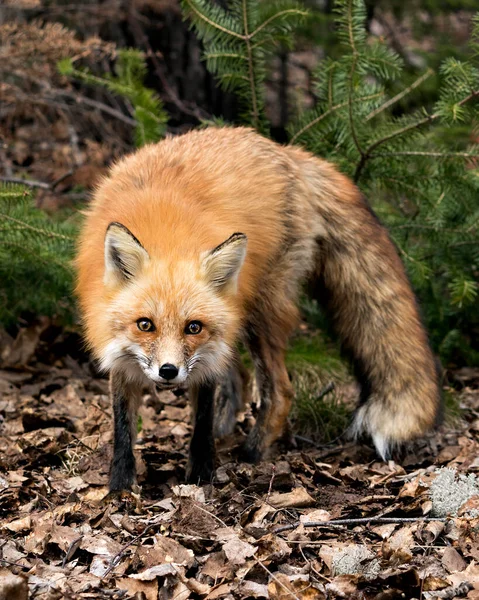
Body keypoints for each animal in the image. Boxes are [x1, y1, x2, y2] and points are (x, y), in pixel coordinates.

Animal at [76, 129, 442, 490]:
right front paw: (121, 485)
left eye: (193, 327)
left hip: (259, 314)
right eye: (145, 324)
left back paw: (251, 453)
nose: (169, 371)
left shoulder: (205, 353)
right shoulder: (119, 350)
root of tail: (289, 151)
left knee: (280, 392)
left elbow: (202, 414)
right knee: (238, 380)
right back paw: (226, 432)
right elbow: (123, 426)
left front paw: (201, 472)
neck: (168, 238)